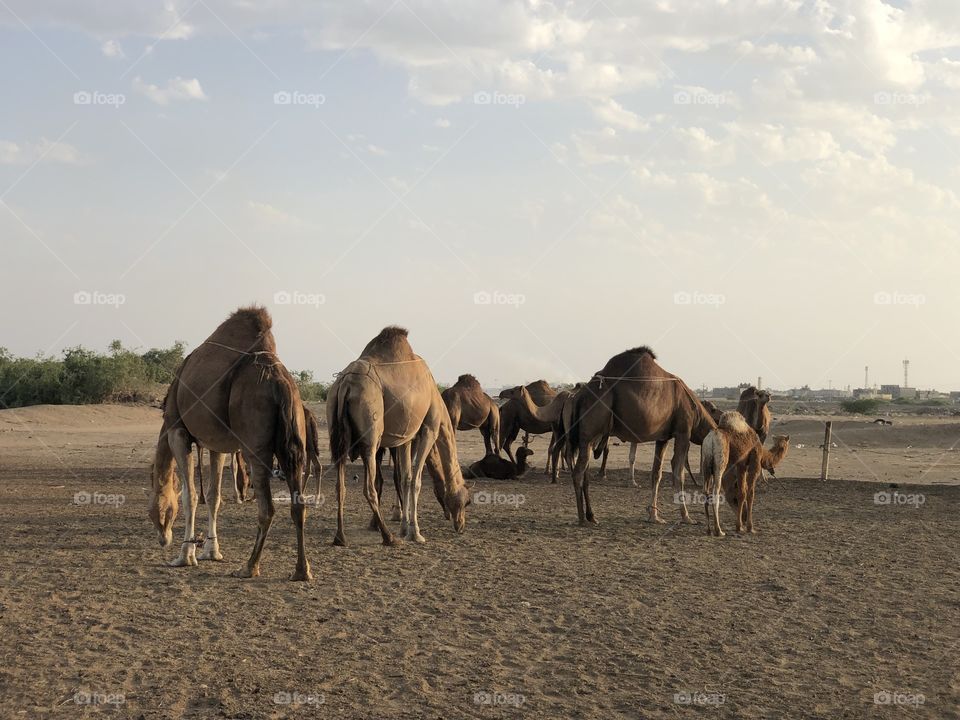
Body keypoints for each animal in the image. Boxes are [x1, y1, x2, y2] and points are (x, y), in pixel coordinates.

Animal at [147, 306, 312, 581]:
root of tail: (279, 382)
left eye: (157, 514)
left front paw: (185, 556)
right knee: (298, 504)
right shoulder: (217, 444)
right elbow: (214, 496)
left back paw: (249, 567)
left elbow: (190, 495)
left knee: (267, 508)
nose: (162, 539)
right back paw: (301, 571)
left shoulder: (177, 431)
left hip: (255, 446)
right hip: (294, 445)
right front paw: (211, 552)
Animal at [327, 326, 470, 546]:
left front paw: (404, 527)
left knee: (340, 486)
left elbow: (404, 478)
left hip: (336, 427)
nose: (460, 525)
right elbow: (415, 480)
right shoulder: (429, 429)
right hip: (370, 433)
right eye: (467, 501)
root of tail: (345, 385)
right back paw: (388, 537)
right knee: (369, 487)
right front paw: (415, 533)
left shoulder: (406, 438)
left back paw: (340, 537)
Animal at [565, 346, 716, 525]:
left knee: (585, 474)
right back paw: (582, 519)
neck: (696, 411)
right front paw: (687, 517)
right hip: (589, 434)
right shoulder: (683, 431)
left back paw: (592, 516)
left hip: (590, 438)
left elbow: (656, 474)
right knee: (578, 473)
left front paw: (654, 516)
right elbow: (678, 472)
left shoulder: (663, 437)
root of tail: (579, 397)